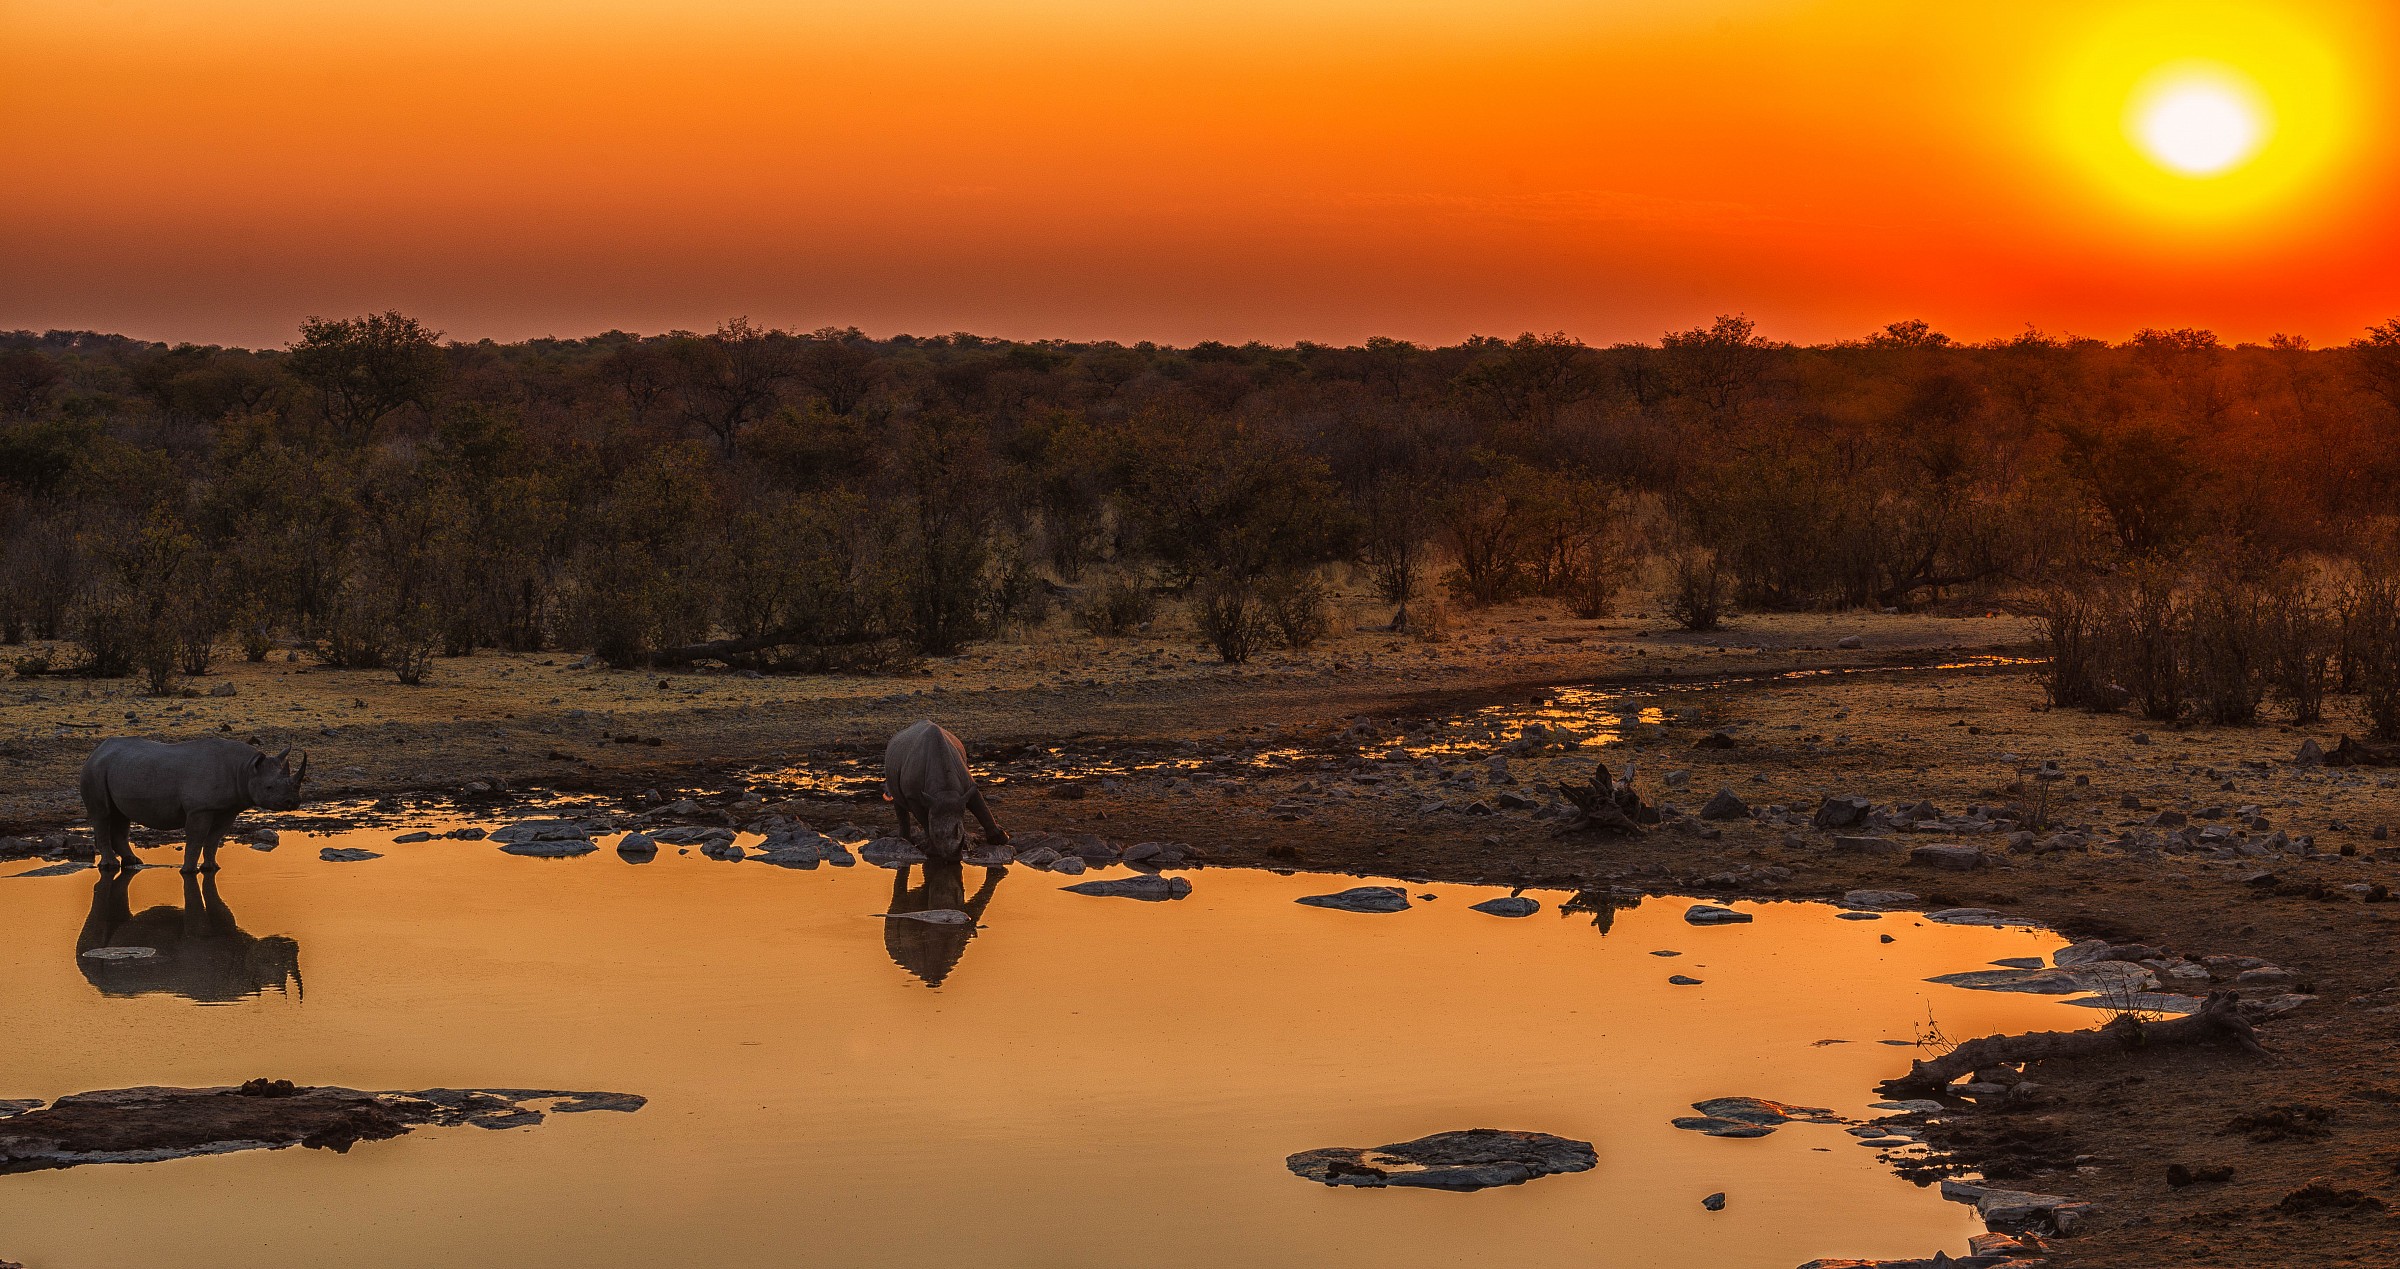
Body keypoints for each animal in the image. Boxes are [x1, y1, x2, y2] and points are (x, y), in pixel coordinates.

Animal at [79, 736, 307, 874]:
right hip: (95, 770)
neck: (245, 769)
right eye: (269, 787)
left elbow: (214, 838)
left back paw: (133, 862)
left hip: (118, 767)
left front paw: (212, 868)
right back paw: (111, 866)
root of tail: (96, 750)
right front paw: (189, 871)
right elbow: (196, 838)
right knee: (102, 814)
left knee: (121, 816)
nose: (293, 802)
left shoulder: (228, 809)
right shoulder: (200, 809)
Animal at [882, 720, 1006, 861]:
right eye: (936, 835)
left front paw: (1001, 840)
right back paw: (904, 840)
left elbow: (982, 808)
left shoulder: (969, 788)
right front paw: (933, 853)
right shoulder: (913, 796)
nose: (953, 859)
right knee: (898, 800)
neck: (945, 792)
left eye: (960, 832)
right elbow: (925, 822)